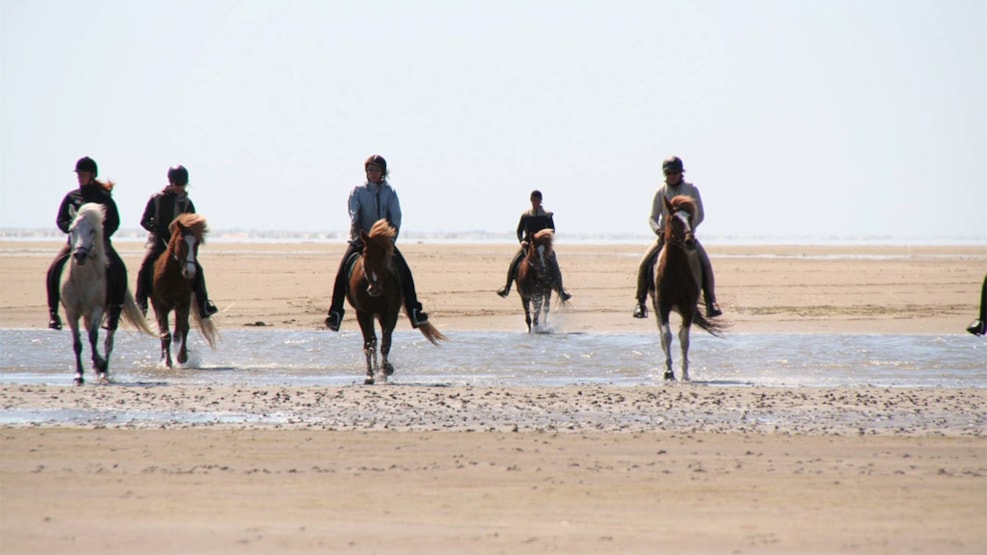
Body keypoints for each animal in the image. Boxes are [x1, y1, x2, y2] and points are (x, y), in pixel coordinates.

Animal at [60, 204, 153, 386]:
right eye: (71, 230)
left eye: (92, 230)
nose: (80, 255)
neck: (83, 278)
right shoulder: (71, 312)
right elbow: (77, 343)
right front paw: (79, 375)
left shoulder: (97, 308)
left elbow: (93, 336)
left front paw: (100, 363)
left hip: (112, 311)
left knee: (108, 341)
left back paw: (104, 372)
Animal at [151, 214, 216, 370]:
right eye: (181, 242)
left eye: (196, 244)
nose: (190, 272)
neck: (173, 275)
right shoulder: (161, 306)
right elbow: (165, 333)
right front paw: (168, 362)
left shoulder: (183, 303)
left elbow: (184, 329)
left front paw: (181, 357)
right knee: (163, 332)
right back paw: (163, 358)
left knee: (178, 333)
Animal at [344, 219, 444, 384]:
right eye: (365, 255)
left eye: (384, 255)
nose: (374, 288)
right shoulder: (363, 313)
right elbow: (369, 343)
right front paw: (370, 375)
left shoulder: (390, 313)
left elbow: (386, 343)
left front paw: (385, 370)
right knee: (373, 340)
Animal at [652, 195, 728, 382]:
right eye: (673, 219)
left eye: (690, 218)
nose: (690, 241)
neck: (674, 272)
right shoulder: (662, 306)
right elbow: (667, 336)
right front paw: (668, 372)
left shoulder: (688, 307)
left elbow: (684, 338)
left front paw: (685, 373)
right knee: (662, 336)